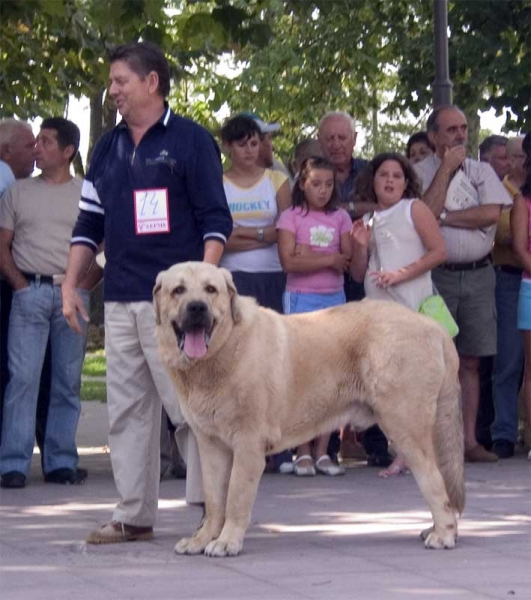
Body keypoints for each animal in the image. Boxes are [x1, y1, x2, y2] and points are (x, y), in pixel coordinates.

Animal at [154, 262, 466, 556]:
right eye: (178, 290)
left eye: (211, 290)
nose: (197, 307)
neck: (224, 347)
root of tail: (433, 327)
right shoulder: (211, 445)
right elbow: (214, 498)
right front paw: (202, 539)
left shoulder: (247, 444)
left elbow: (235, 498)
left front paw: (227, 542)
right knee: (442, 478)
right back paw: (435, 529)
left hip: (406, 428)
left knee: (433, 480)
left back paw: (444, 534)